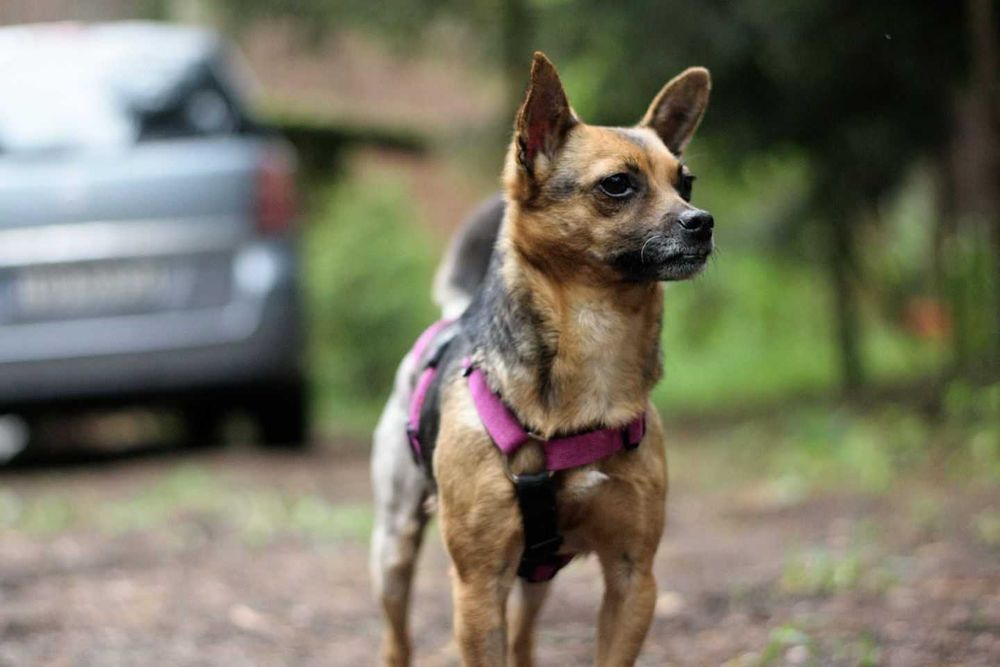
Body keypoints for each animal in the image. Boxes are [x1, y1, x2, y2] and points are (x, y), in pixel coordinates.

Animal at [370, 53, 712, 667]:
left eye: (685, 182)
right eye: (618, 184)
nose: (702, 222)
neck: (598, 337)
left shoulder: (633, 578)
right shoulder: (479, 587)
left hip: (538, 576)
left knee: (526, 640)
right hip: (393, 549)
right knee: (396, 637)